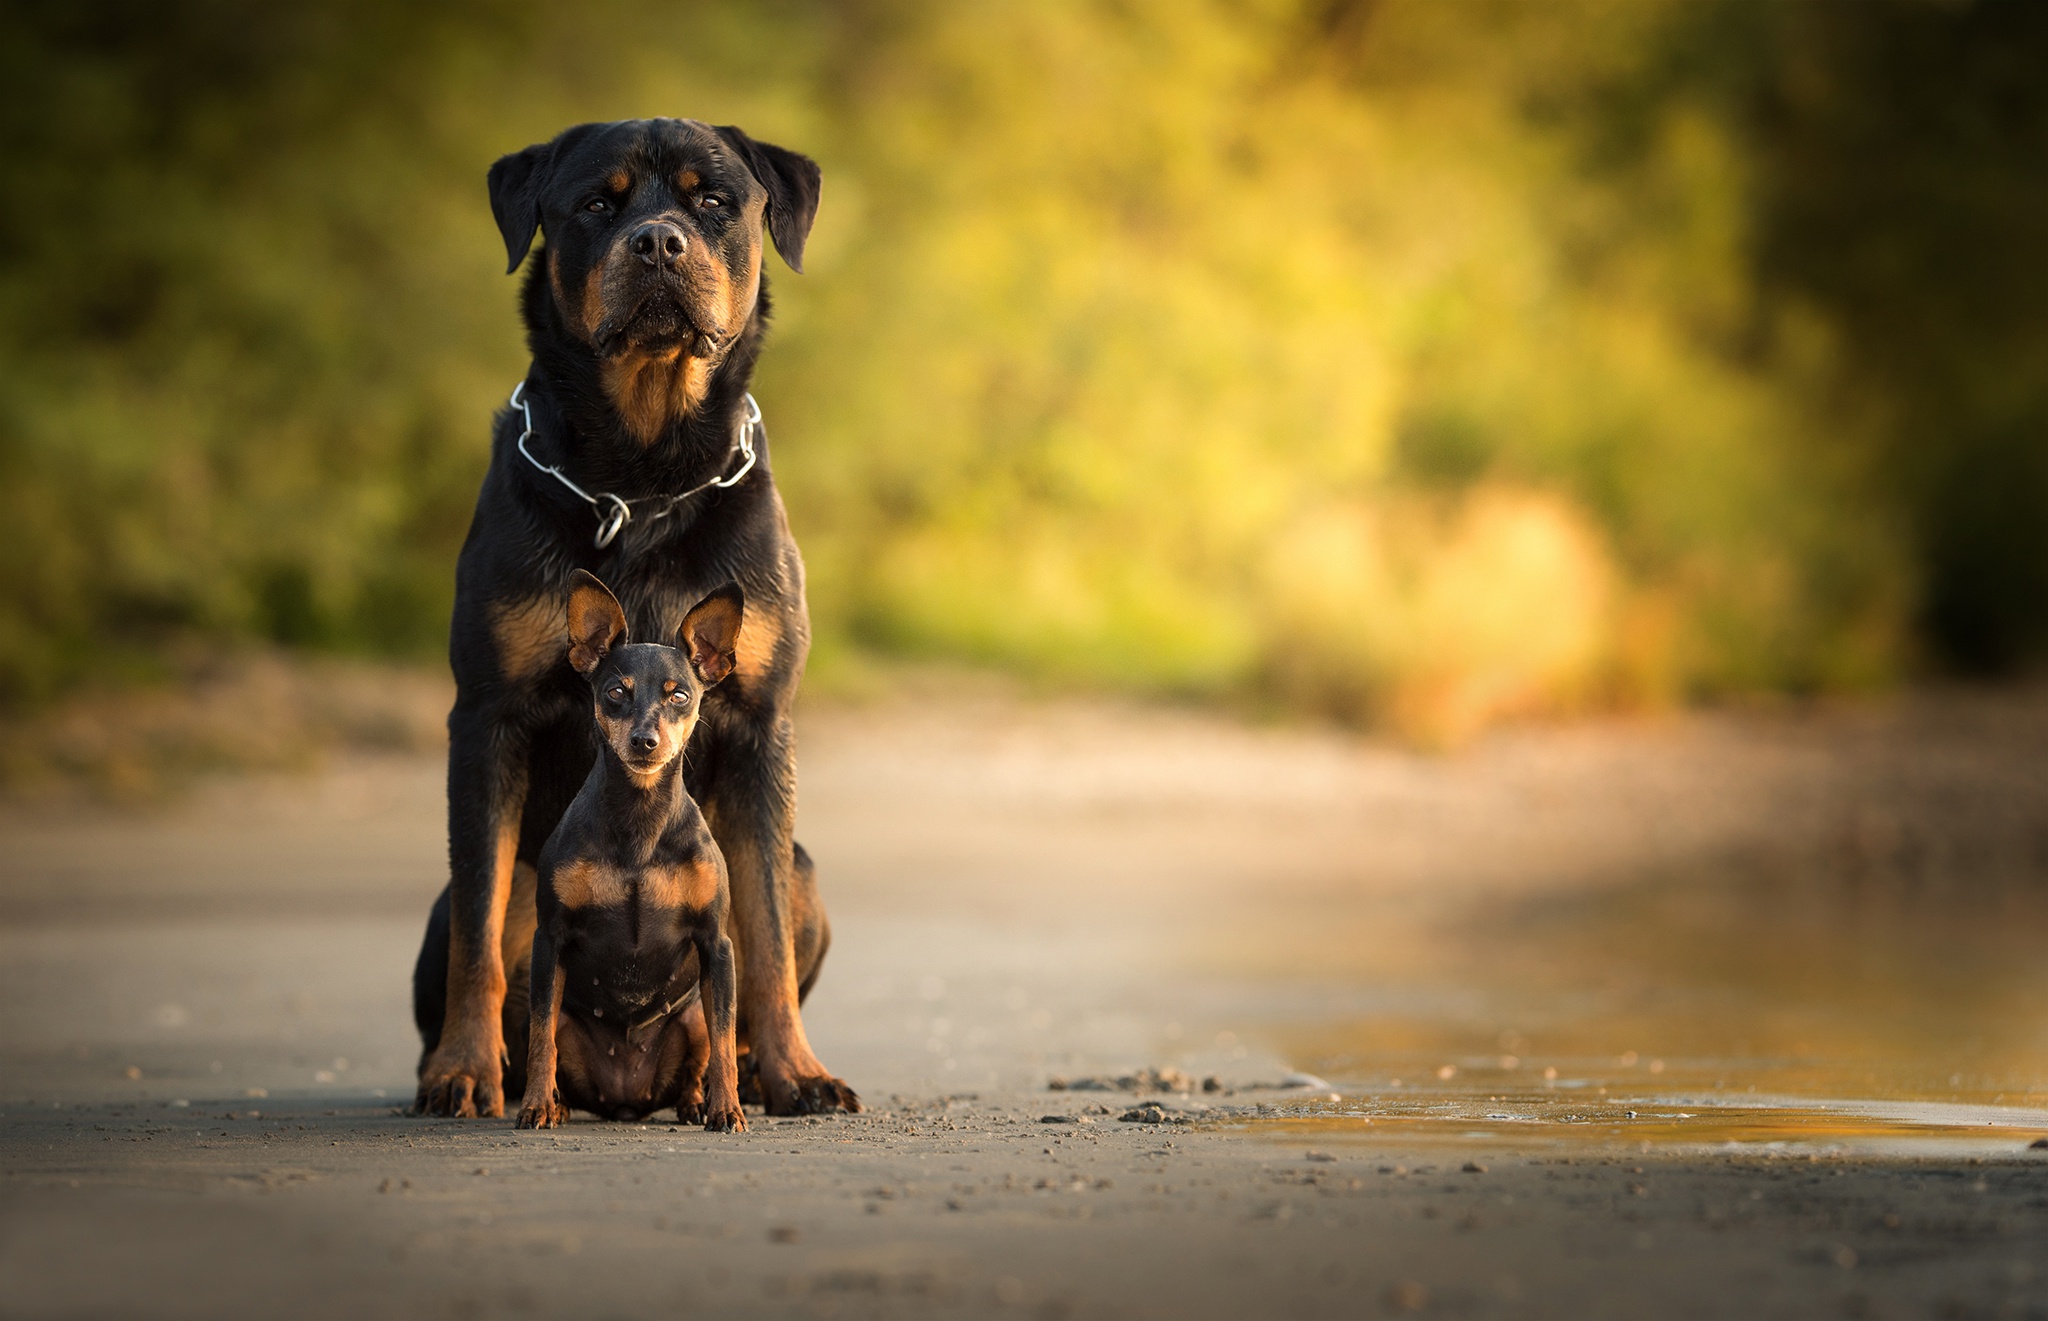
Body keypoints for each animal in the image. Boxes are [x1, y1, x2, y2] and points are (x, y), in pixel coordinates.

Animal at [516, 573, 749, 1130]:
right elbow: (539, 1038)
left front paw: (727, 1110)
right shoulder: (548, 940)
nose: (645, 740)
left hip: (693, 1016)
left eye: (680, 694)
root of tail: (626, 1099)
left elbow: (727, 1042)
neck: (640, 820)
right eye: (616, 693)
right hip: (565, 1016)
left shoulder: (717, 944)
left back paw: (695, 1104)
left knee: (704, 1051)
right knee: (550, 1040)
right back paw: (556, 1103)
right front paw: (534, 1106)